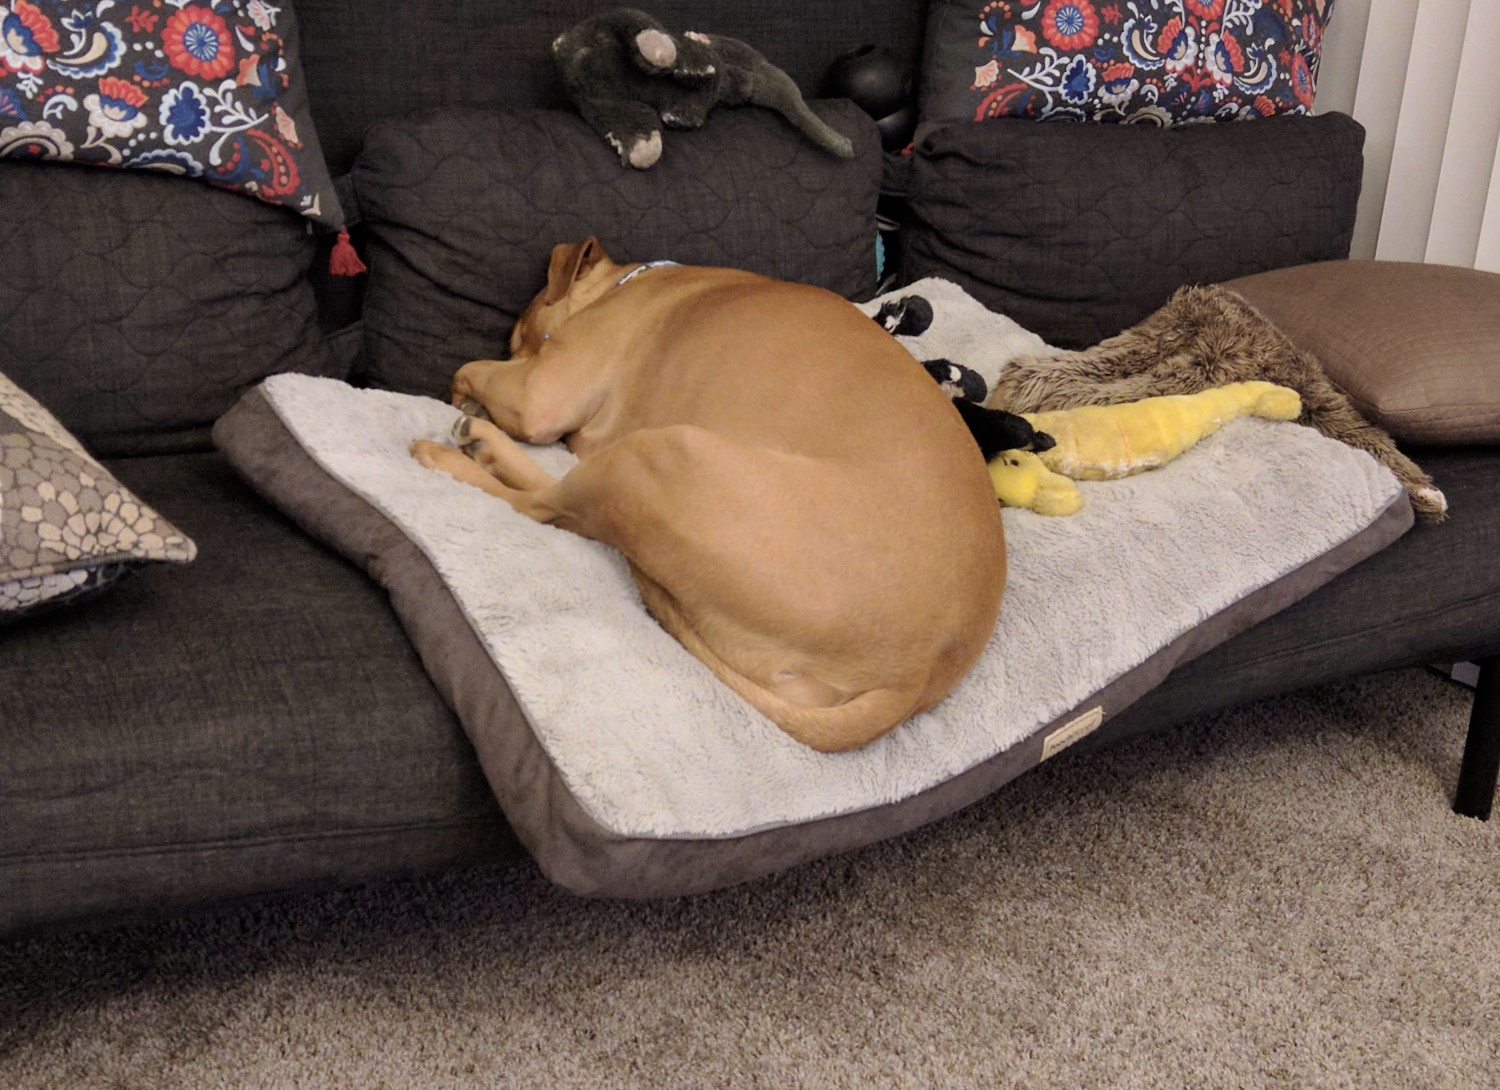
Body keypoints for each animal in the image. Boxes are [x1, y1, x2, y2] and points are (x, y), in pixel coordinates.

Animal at [408, 238, 1008, 749]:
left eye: (520, 339)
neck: (625, 283)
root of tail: (915, 680)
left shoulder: (542, 394)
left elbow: (472, 369)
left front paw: (469, 396)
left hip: (658, 452)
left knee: (543, 506)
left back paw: (462, 450)